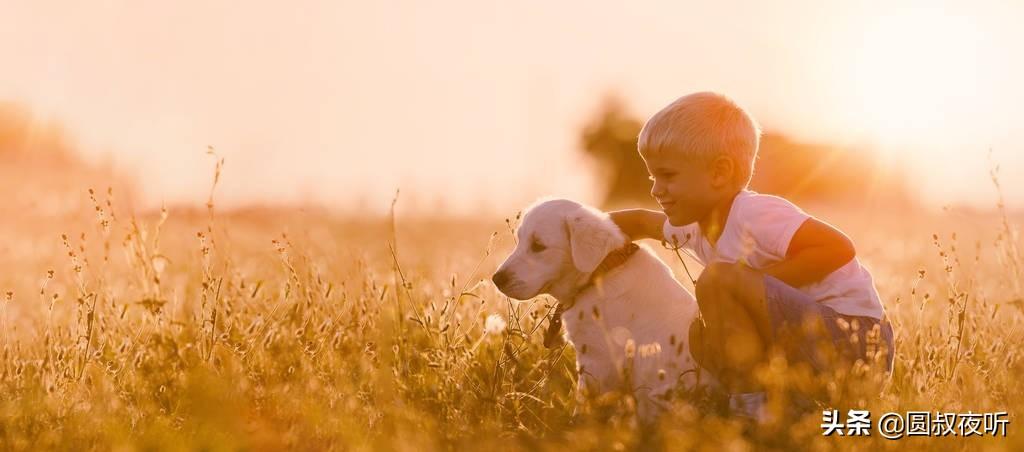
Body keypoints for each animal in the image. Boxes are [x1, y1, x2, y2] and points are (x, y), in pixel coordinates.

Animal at [491, 197, 708, 422]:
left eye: (538, 246)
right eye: (520, 241)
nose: (497, 279)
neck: (599, 273)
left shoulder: (597, 361)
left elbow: (584, 403)